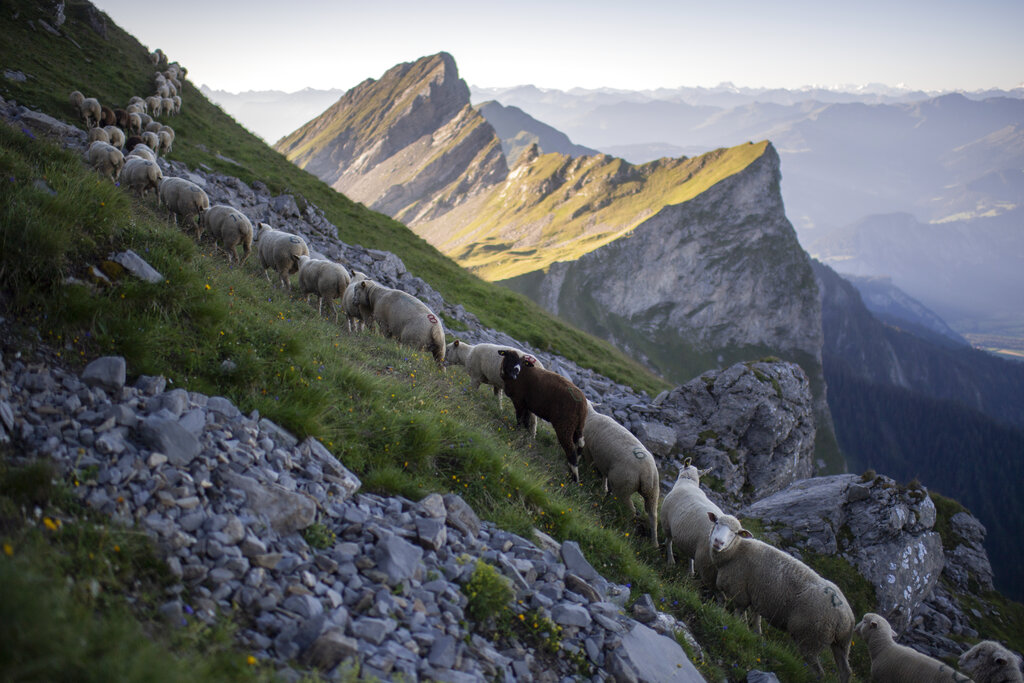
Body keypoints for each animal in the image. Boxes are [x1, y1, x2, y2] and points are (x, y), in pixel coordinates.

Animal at [499, 350, 589, 483]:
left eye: (521, 361)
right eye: (509, 357)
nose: (516, 371)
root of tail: (582, 405)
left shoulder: (519, 401)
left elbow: (520, 419)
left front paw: (516, 432)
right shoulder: (526, 405)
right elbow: (526, 422)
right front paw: (525, 436)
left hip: (565, 426)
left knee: (571, 451)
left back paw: (574, 479)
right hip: (578, 426)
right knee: (580, 446)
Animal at [581, 403, 659, 548]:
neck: (590, 416)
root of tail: (647, 472)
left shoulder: (588, 450)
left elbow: (589, 466)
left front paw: (587, 478)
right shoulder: (604, 462)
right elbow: (604, 477)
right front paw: (604, 489)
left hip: (624, 486)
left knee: (631, 510)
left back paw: (623, 523)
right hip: (653, 491)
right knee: (653, 516)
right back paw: (654, 543)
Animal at [704, 509, 856, 679]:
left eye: (735, 533)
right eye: (717, 523)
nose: (718, 542)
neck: (736, 552)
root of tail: (846, 617)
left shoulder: (741, 594)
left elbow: (739, 616)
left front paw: (737, 627)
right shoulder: (757, 597)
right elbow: (756, 620)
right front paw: (755, 635)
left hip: (810, 638)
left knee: (818, 671)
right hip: (842, 644)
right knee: (845, 671)